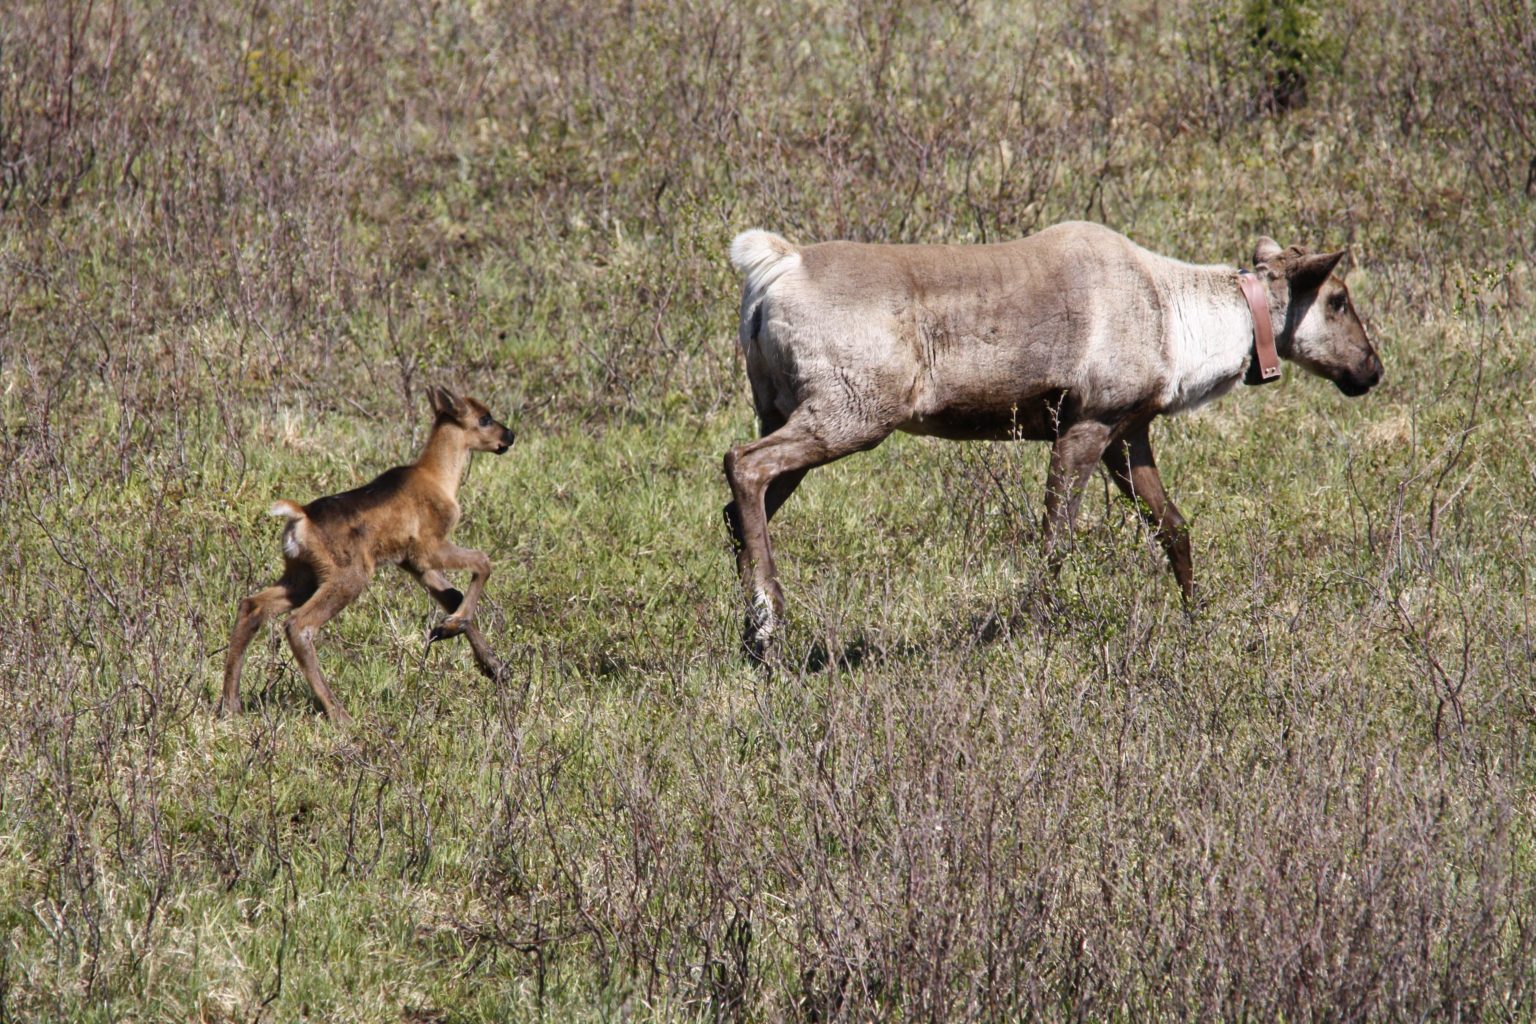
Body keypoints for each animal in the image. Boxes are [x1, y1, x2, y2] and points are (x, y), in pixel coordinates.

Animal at [219, 386, 516, 727]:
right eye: (485, 418)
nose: (509, 435)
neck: (439, 477)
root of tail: (299, 517)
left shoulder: (411, 562)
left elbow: (453, 595)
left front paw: (493, 666)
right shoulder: (428, 547)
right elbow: (483, 561)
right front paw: (450, 629)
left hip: (301, 576)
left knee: (251, 606)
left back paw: (230, 705)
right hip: (349, 575)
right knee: (298, 625)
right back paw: (340, 715)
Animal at [724, 222, 1388, 657]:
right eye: (1337, 298)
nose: (1372, 368)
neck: (1182, 325)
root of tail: (773, 271)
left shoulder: (1128, 431)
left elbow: (1172, 526)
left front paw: (1197, 617)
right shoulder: (1086, 422)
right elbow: (1055, 539)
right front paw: (1031, 628)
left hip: (781, 409)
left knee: (736, 506)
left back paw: (751, 637)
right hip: (854, 412)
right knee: (742, 463)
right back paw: (768, 618)